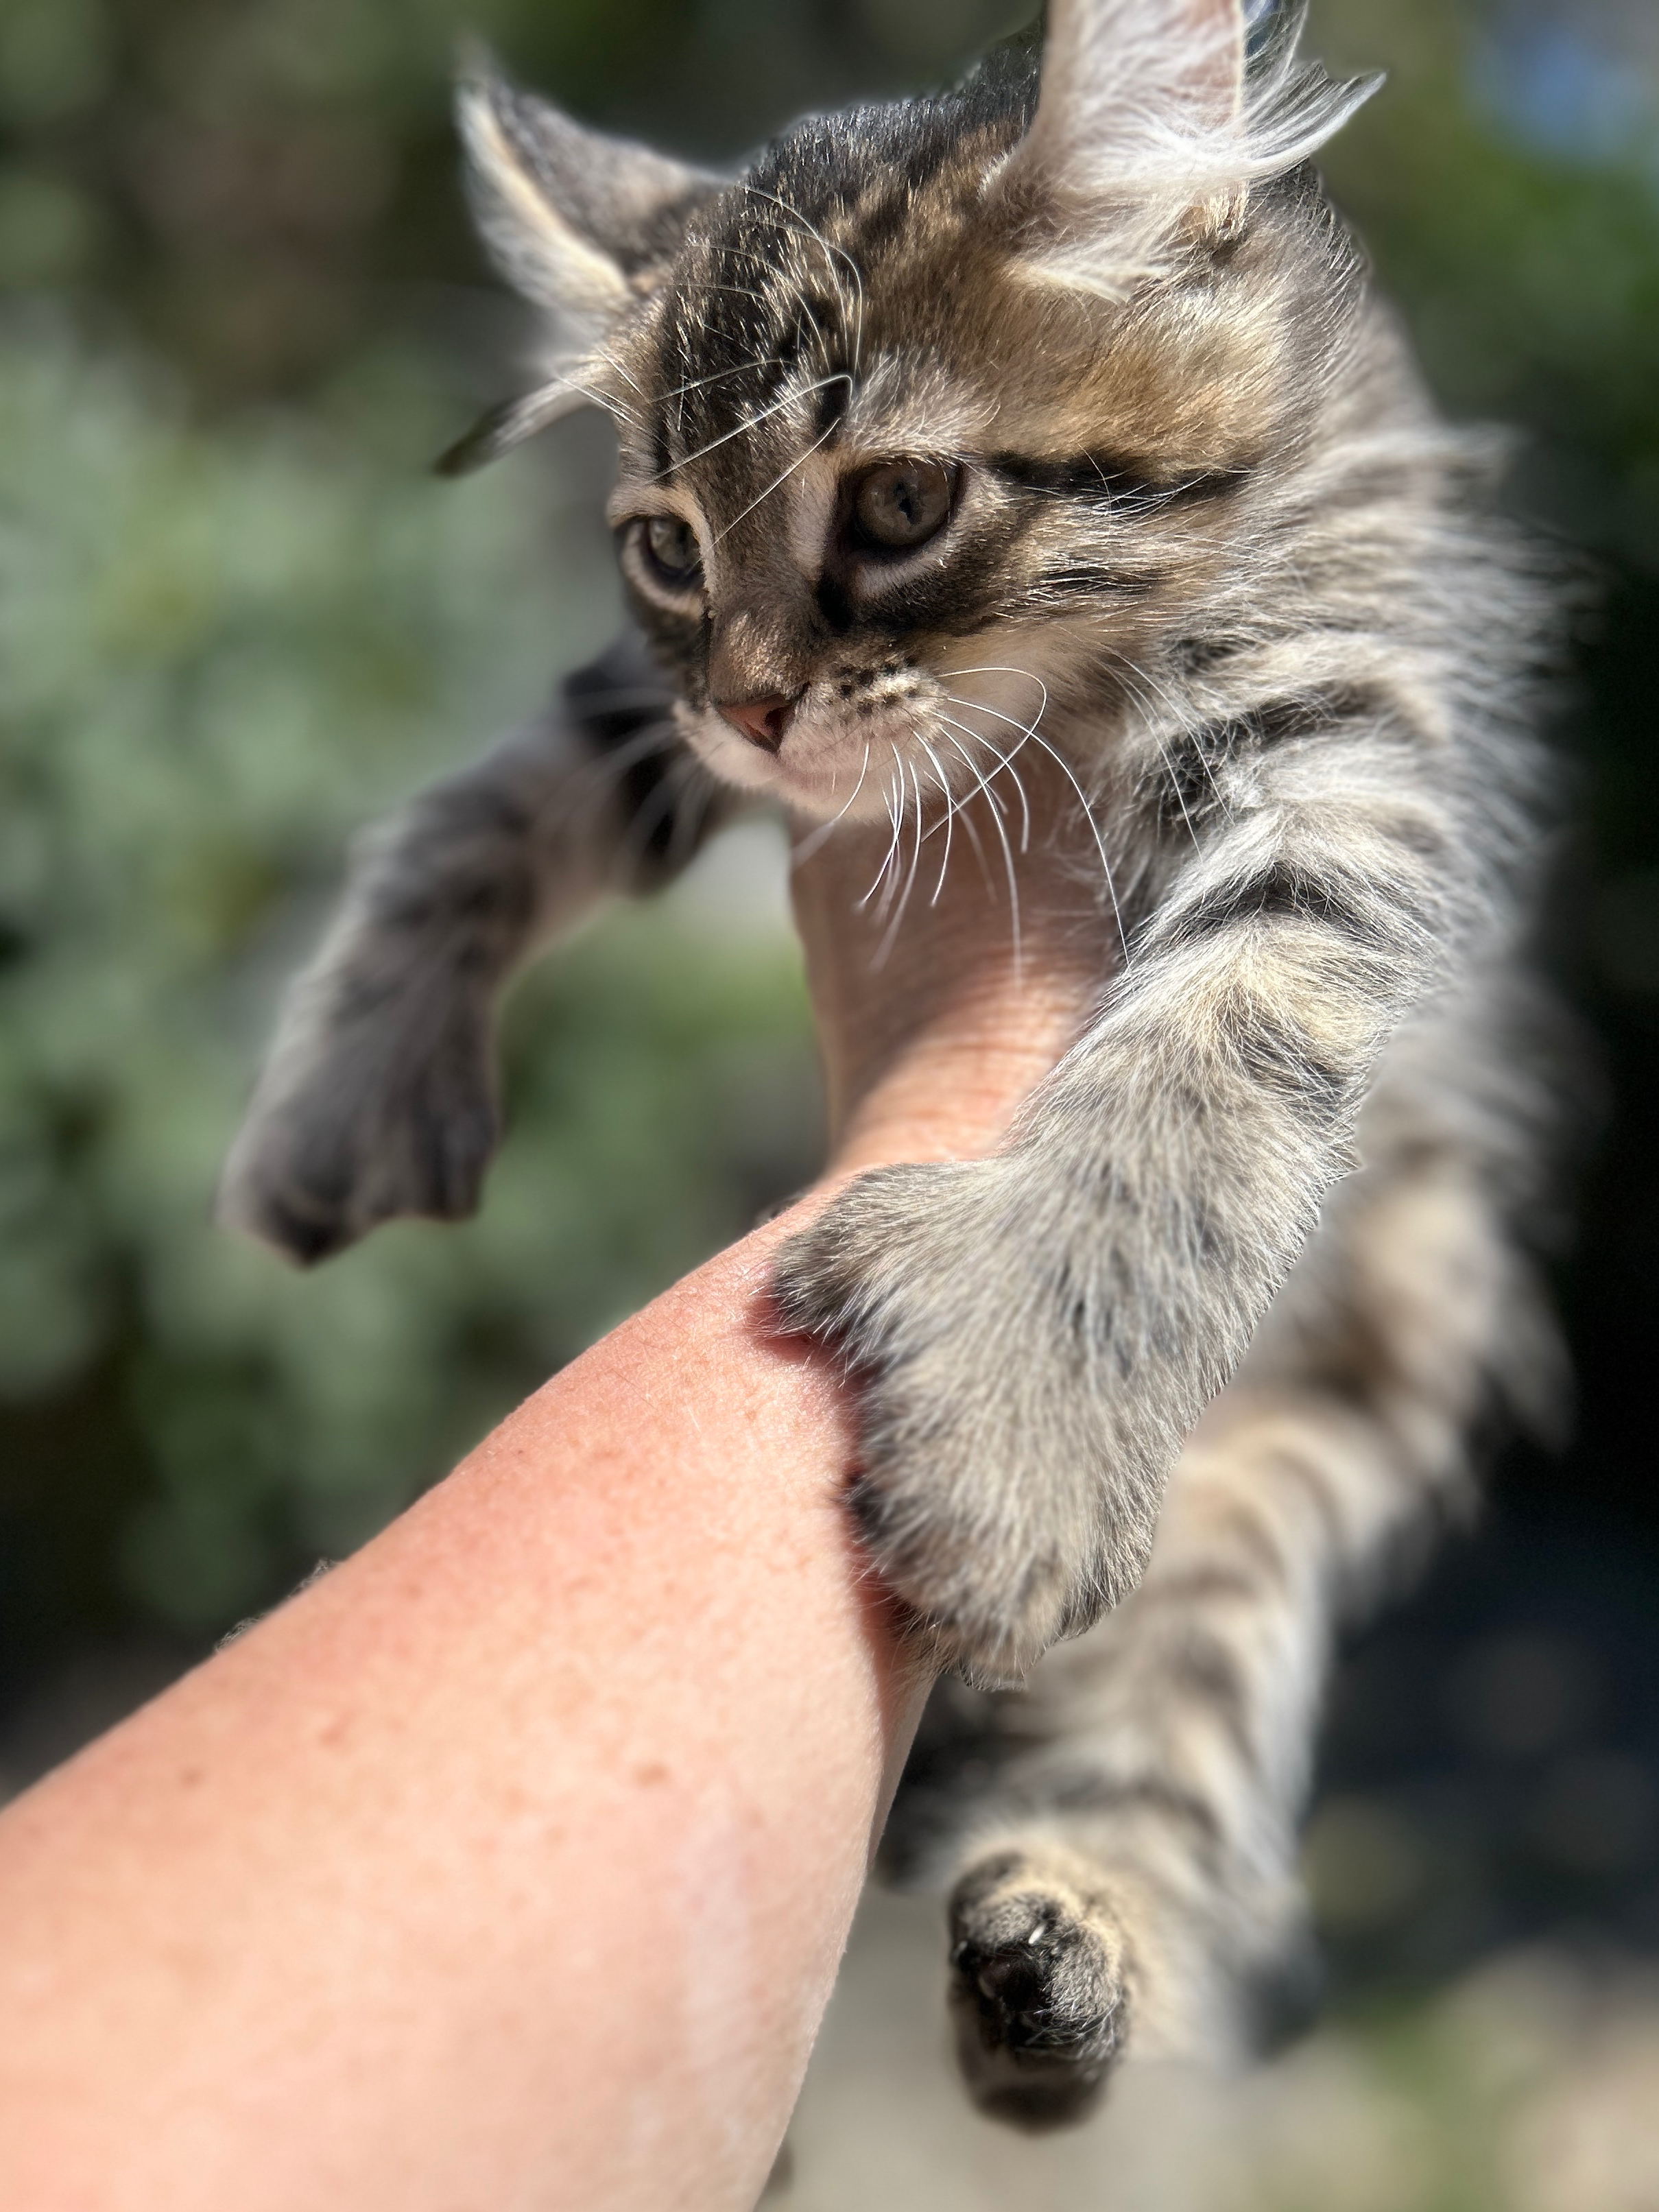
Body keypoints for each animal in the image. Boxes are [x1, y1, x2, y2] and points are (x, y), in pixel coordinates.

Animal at [224, 4, 1575, 2141]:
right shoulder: (658, 715)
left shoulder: (1353, 749)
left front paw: (1019, 1407)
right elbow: (483, 804)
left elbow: (1205, 1059)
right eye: (665, 548)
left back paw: (1070, 1948)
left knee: (1186, 1698)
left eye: (893, 507)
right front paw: (349, 1079)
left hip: (1336, 1398)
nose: (762, 702)